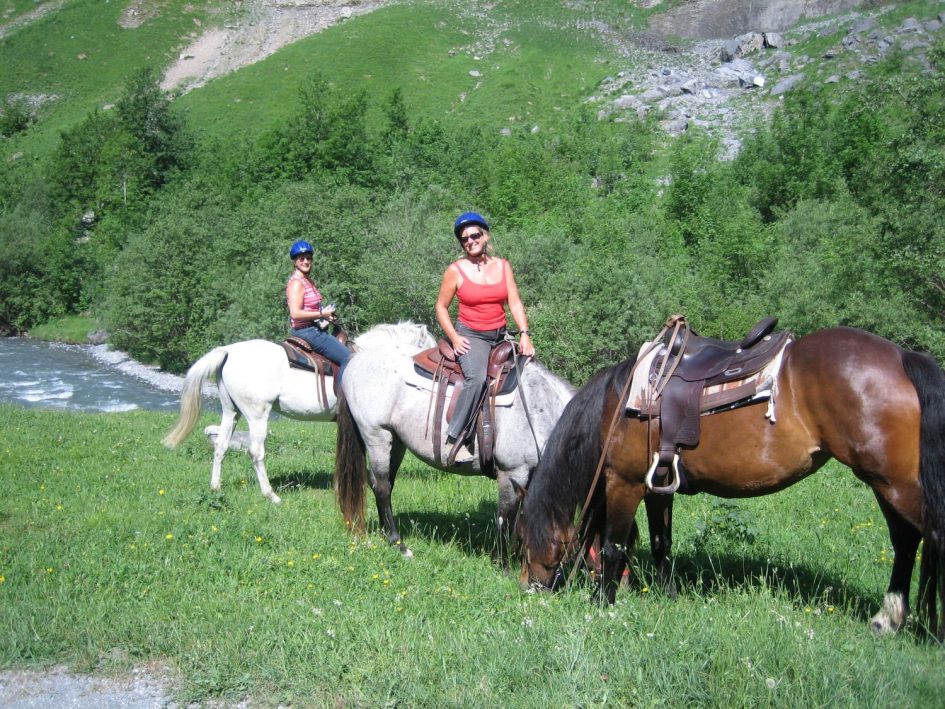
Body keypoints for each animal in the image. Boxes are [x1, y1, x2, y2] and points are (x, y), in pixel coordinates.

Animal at [162, 320, 436, 504]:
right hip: (257, 415)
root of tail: (229, 351)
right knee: (256, 452)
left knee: (221, 446)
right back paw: (270, 495)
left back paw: (216, 486)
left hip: (231, 411)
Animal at [332, 334, 576, 560]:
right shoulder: (512, 472)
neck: (540, 406)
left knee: (383, 485)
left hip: (396, 441)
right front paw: (501, 561)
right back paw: (398, 543)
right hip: (377, 435)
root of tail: (356, 359)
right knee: (382, 487)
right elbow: (505, 517)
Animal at [512, 314, 944, 636]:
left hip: (894, 483)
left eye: (527, 537)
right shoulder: (659, 487)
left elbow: (614, 545)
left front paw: (603, 603)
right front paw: (667, 595)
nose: (527, 587)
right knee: (906, 541)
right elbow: (661, 542)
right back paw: (887, 620)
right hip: (885, 484)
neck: (617, 404)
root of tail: (902, 357)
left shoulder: (625, 482)